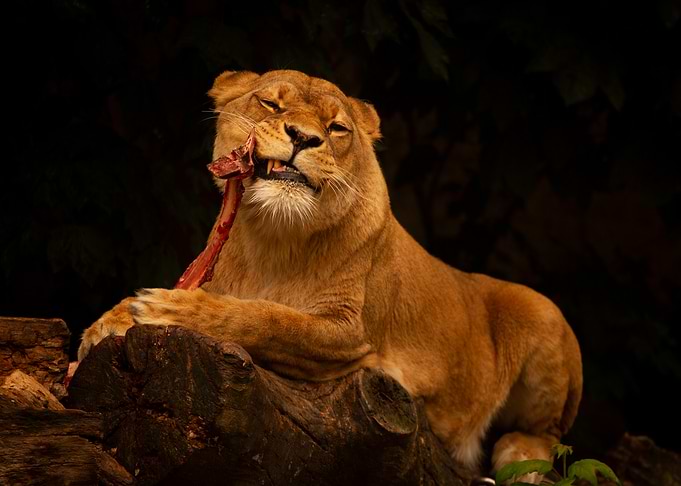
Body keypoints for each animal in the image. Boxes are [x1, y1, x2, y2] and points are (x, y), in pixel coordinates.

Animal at [78, 69, 582, 479]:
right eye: (271, 104)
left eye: (336, 128)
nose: (303, 137)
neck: (273, 237)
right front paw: (107, 323)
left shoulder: (350, 332)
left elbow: (267, 319)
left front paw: (167, 309)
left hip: (541, 310)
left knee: (550, 435)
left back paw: (521, 456)